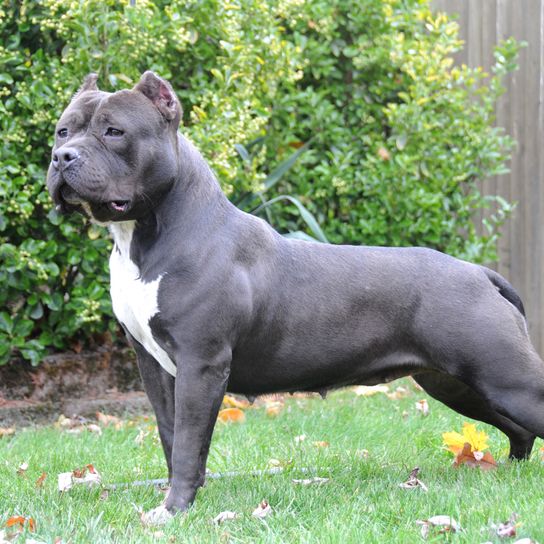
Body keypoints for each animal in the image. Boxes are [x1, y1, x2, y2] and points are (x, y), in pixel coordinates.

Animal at [47, 72, 544, 524]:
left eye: (114, 131)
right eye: (63, 130)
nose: (61, 157)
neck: (149, 234)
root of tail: (479, 272)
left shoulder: (200, 364)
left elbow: (188, 443)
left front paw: (173, 510)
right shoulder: (153, 366)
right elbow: (172, 437)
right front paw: (177, 501)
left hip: (504, 377)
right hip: (456, 383)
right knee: (516, 428)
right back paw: (511, 470)